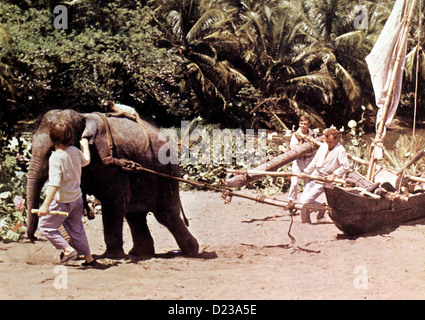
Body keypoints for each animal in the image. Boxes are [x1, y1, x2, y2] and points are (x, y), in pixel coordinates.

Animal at [26, 109, 199, 258]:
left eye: (52, 151)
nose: (33, 238)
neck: (82, 116)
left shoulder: (109, 159)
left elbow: (113, 200)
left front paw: (110, 257)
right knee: (135, 215)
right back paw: (139, 253)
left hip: (165, 174)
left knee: (165, 214)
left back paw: (191, 251)